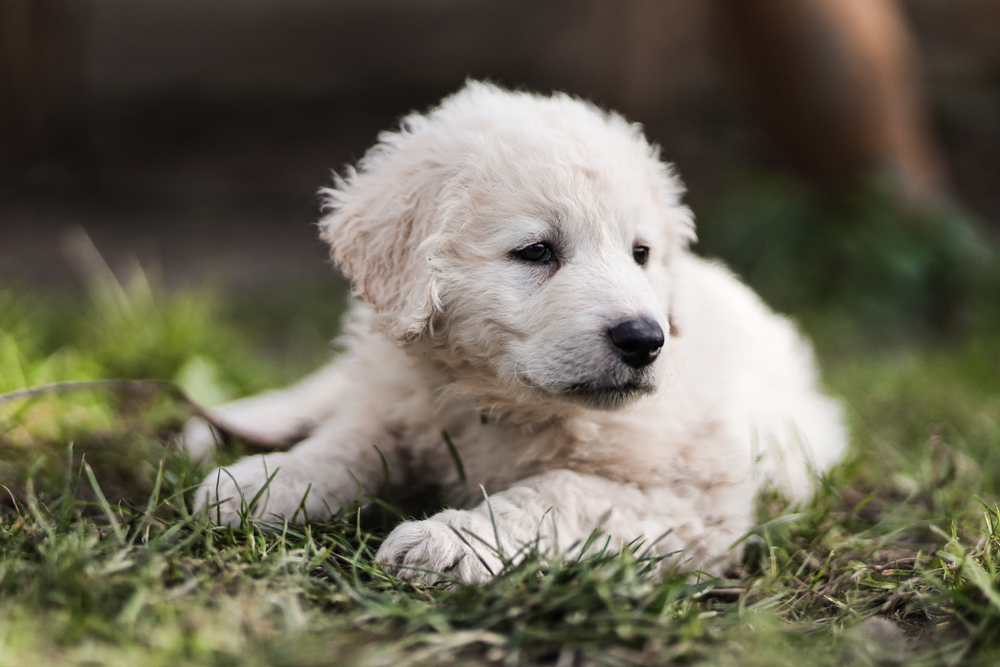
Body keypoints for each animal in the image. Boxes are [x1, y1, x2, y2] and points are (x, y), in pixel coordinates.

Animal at [186, 82, 844, 584]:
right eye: (536, 251)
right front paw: (267, 483)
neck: (498, 401)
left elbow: (554, 493)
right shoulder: (403, 399)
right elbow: (348, 442)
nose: (645, 340)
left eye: (641, 254)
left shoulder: (690, 502)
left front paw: (450, 541)